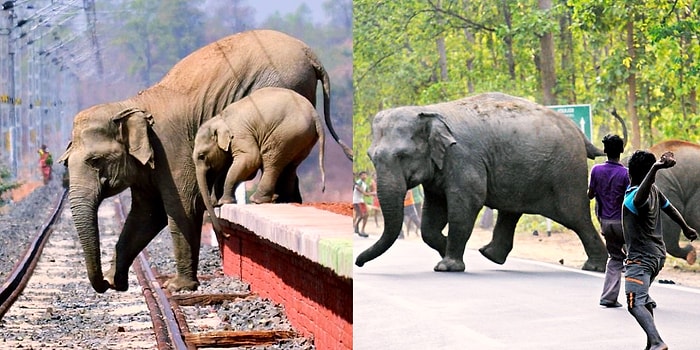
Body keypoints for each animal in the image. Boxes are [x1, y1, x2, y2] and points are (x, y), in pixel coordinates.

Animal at [193, 87, 326, 230]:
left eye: (202, 156)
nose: (212, 206)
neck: (220, 118)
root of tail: (314, 114)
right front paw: (218, 202)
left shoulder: (240, 135)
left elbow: (251, 159)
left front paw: (224, 201)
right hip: (302, 139)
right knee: (290, 166)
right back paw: (281, 200)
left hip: (285, 134)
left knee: (271, 161)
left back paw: (258, 200)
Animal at [356, 91, 608, 272]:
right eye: (371, 157)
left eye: (402, 156)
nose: (359, 263)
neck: (429, 111)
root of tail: (579, 133)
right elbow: (432, 215)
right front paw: (445, 250)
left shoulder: (463, 157)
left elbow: (466, 204)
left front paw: (447, 265)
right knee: (511, 211)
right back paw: (489, 255)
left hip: (565, 171)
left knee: (574, 215)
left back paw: (594, 267)